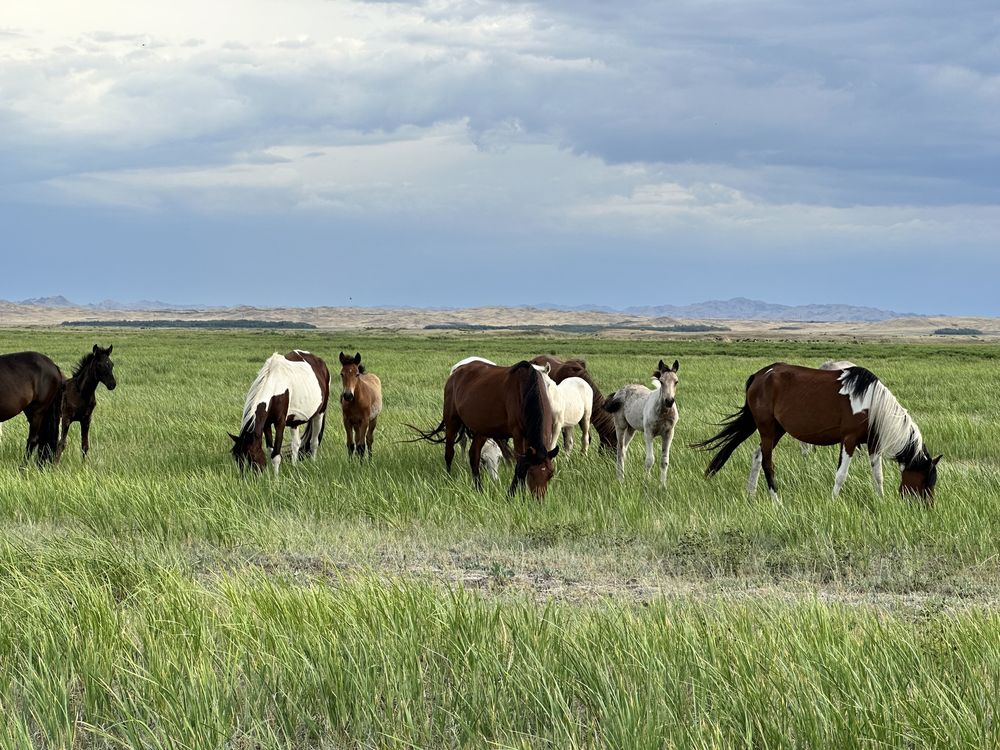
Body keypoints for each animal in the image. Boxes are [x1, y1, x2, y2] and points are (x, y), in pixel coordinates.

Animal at [408, 360, 564, 496]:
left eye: (551, 474)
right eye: (531, 472)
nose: (538, 498)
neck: (527, 390)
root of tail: (456, 372)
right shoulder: (518, 434)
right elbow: (520, 465)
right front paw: (512, 495)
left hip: (480, 430)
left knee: (474, 455)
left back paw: (478, 488)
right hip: (452, 421)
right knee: (449, 453)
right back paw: (449, 480)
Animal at [600, 362, 680, 490]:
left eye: (676, 381)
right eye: (661, 381)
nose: (669, 401)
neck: (663, 412)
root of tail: (619, 391)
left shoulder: (669, 433)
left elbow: (664, 461)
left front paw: (662, 486)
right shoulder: (648, 433)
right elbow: (650, 460)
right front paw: (646, 483)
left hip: (631, 429)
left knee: (624, 449)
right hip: (620, 425)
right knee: (619, 450)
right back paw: (620, 479)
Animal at [692, 362, 940, 502]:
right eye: (926, 482)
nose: (924, 507)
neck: (872, 403)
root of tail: (759, 375)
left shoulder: (873, 444)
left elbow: (877, 476)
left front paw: (880, 501)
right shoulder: (849, 440)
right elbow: (841, 474)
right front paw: (833, 502)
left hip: (777, 430)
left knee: (757, 455)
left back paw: (751, 495)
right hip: (767, 429)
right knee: (767, 463)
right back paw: (776, 501)